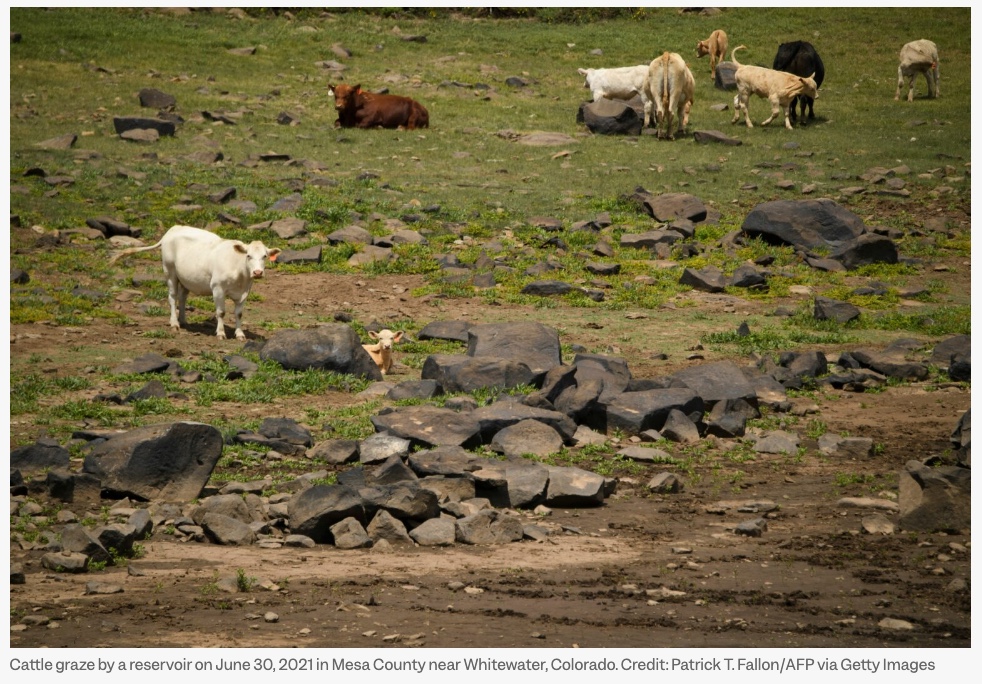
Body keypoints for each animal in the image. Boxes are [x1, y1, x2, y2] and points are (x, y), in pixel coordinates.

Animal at [111, 226, 280, 340]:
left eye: (265, 256)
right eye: (248, 255)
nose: (257, 272)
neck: (239, 273)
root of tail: (173, 228)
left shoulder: (245, 291)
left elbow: (239, 313)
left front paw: (239, 334)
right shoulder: (217, 288)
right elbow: (221, 312)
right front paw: (220, 333)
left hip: (185, 278)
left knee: (182, 297)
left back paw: (183, 320)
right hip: (170, 271)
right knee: (172, 297)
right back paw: (174, 323)